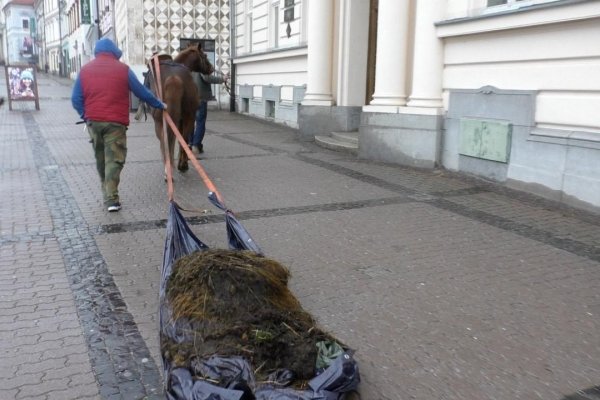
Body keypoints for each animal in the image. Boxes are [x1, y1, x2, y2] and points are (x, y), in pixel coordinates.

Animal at [147, 44, 213, 173]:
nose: (212, 68)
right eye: (205, 55)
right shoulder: (185, 120)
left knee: (165, 140)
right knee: (183, 139)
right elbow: (183, 140)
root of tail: (174, 78)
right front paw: (182, 163)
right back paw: (181, 166)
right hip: (188, 118)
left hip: (161, 121)